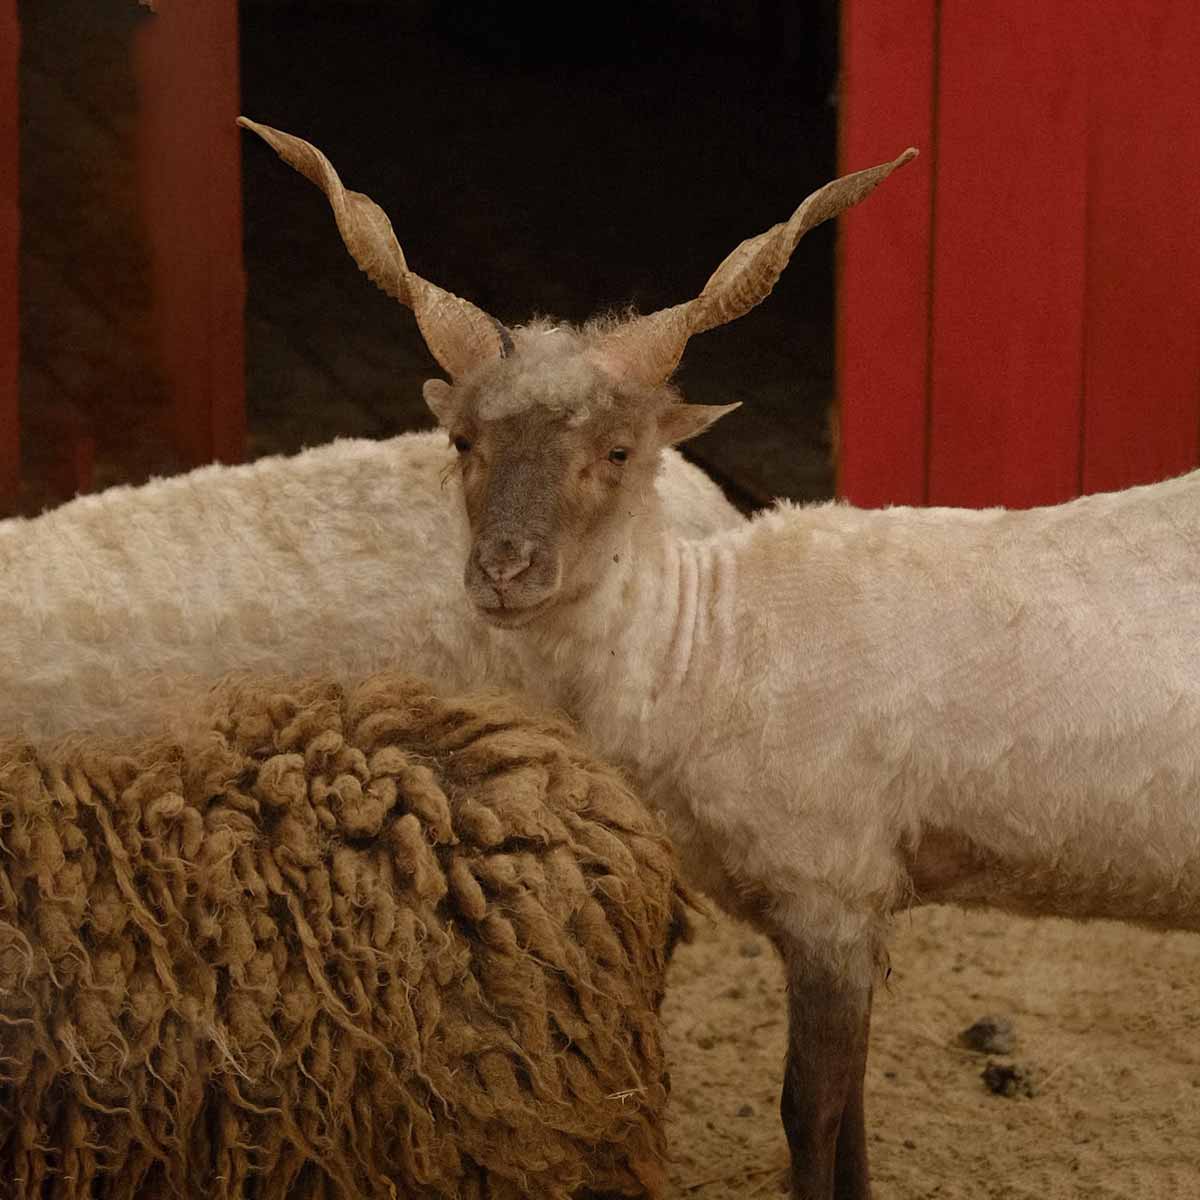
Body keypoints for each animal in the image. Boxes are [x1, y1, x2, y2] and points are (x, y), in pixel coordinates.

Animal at [236, 123, 1200, 1198]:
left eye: (619, 451)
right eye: (461, 440)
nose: (505, 571)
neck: (704, 644)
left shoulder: (829, 889)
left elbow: (811, 1110)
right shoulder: (858, 902)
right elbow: (853, 1109)